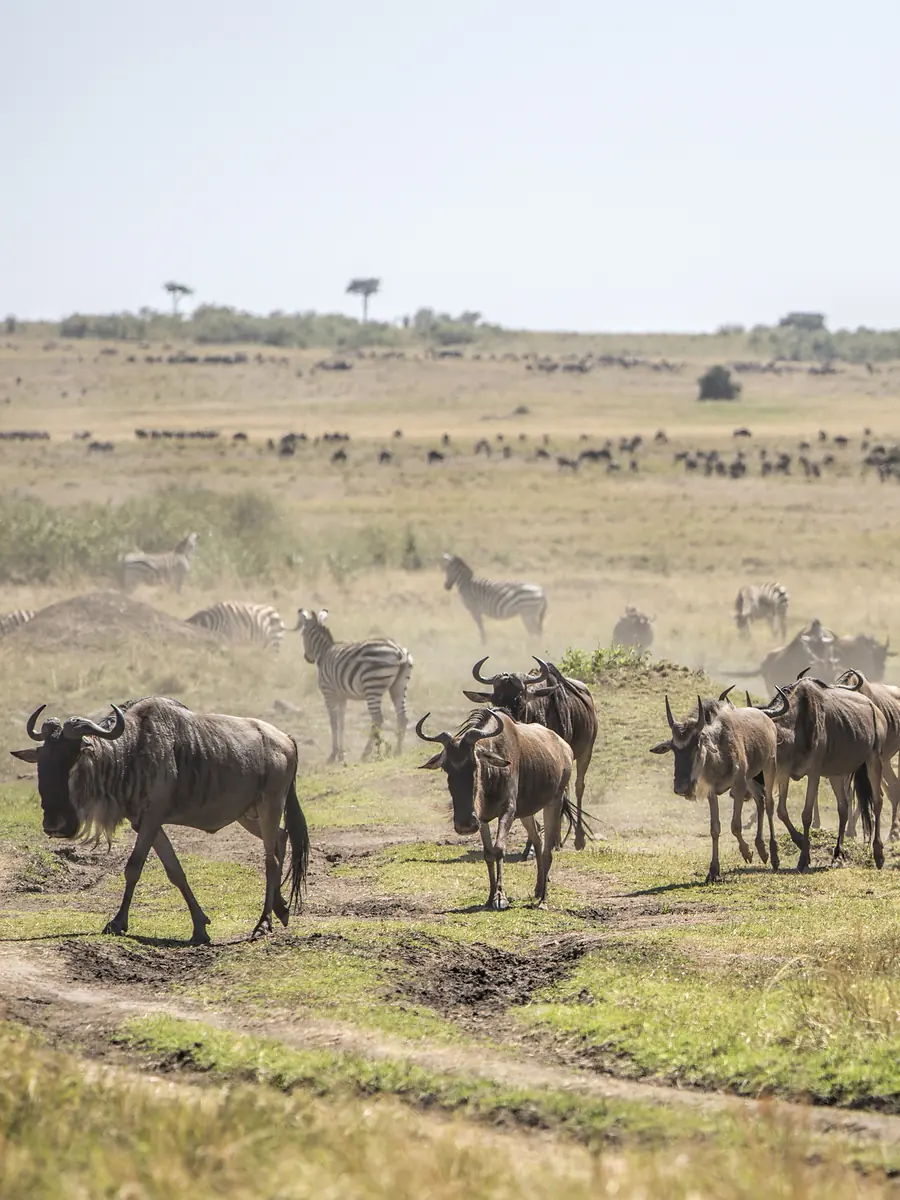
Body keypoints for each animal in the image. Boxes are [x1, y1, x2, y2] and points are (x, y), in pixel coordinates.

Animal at [295, 608, 413, 762]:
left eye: (302, 634)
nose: (307, 658)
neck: (324, 652)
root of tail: (399, 651)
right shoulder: (342, 697)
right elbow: (342, 723)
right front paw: (340, 755)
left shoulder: (329, 693)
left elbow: (334, 723)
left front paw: (333, 755)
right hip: (398, 686)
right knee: (402, 717)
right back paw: (397, 751)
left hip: (372, 684)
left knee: (377, 719)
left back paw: (366, 754)